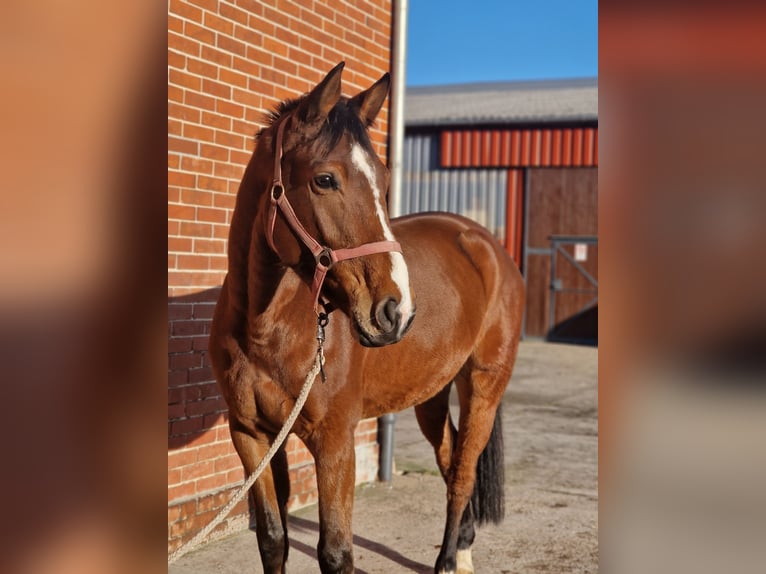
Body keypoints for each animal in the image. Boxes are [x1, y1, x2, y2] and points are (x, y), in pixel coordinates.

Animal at [210, 60, 528, 572]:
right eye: (324, 179)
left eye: (383, 179)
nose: (396, 311)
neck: (265, 329)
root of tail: (486, 243)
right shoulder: (252, 437)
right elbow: (273, 539)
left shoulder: (335, 441)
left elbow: (336, 552)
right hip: (431, 392)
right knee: (449, 457)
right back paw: (462, 547)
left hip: (483, 385)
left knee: (462, 473)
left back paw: (447, 560)